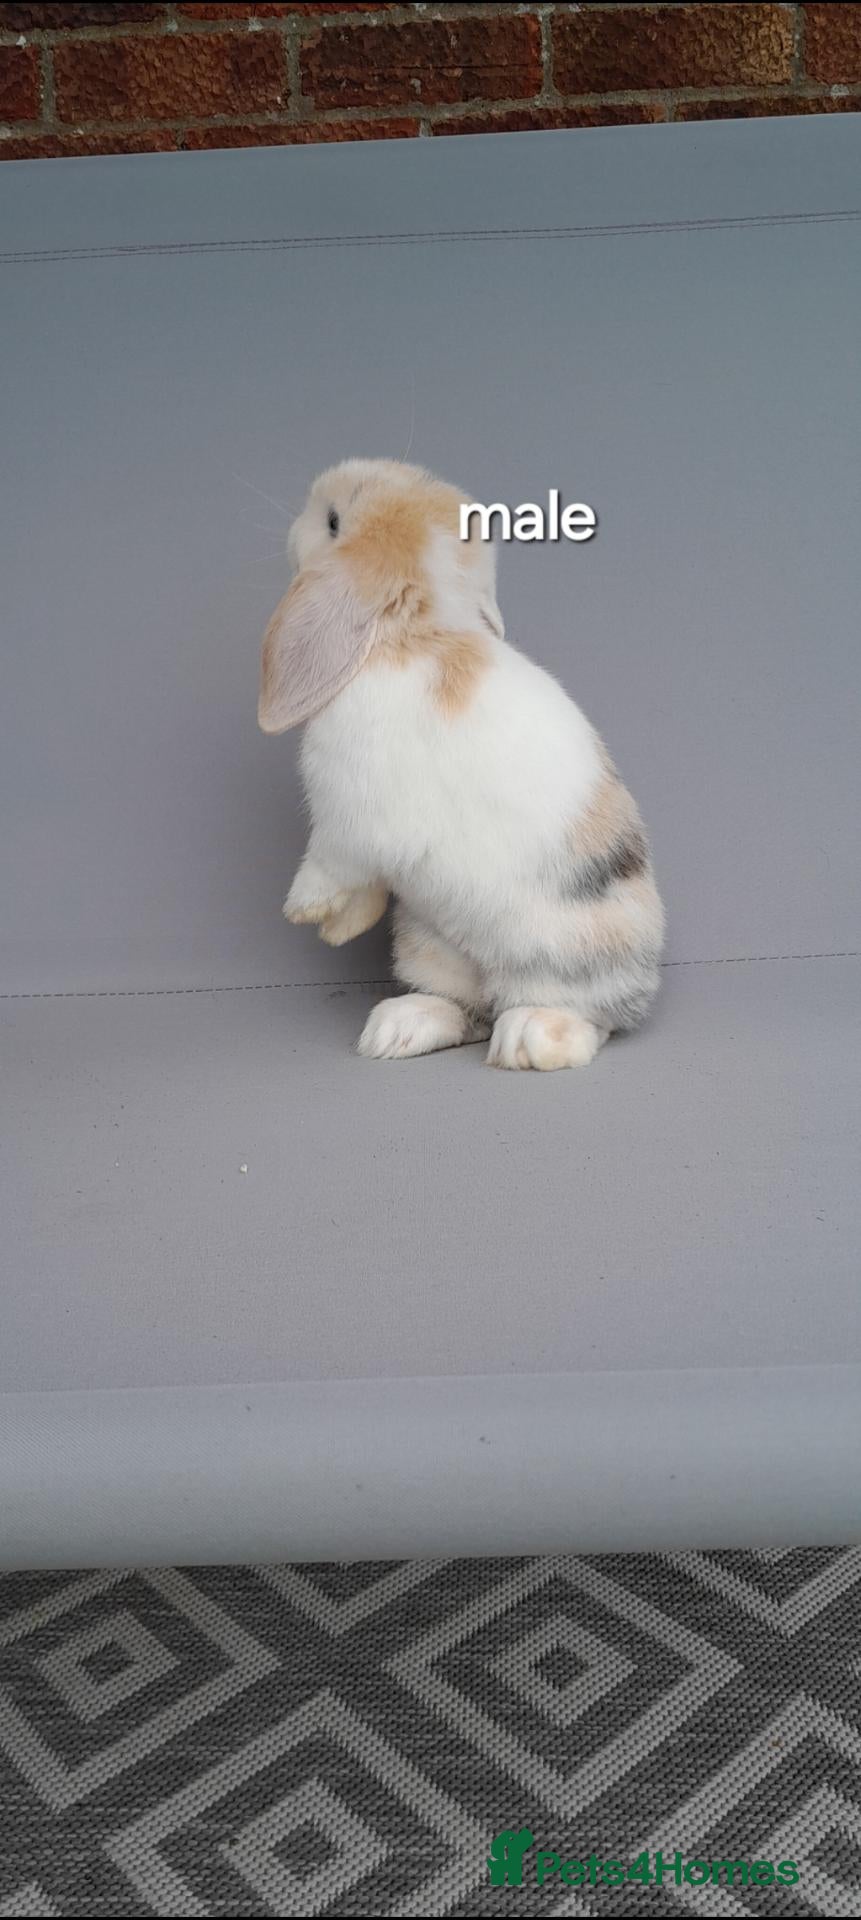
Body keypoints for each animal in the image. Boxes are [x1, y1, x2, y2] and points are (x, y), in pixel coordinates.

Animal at [258, 458, 665, 1070]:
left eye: (331, 521)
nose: (290, 529)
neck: (414, 630)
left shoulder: (351, 816)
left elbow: (332, 862)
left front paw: (305, 911)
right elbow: (364, 883)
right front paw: (341, 927)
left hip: (560, 956)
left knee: (589, 1019)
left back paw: (529, 1039)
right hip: (427, 938)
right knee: (466, 1009)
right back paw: (397, 1029)